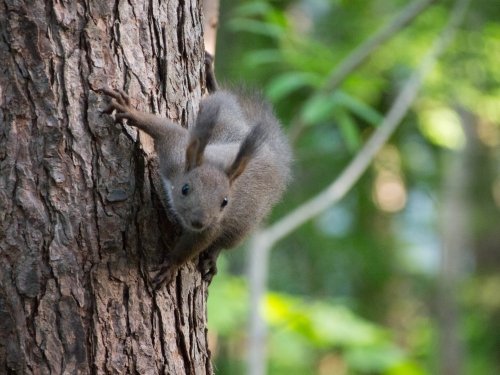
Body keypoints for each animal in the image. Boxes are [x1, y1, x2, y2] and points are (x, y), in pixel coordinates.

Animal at [100, 53, 292, 288]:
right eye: (185, 189)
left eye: (225, 202)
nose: (198, 221)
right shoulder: (176, 152)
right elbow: (163, 128)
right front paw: (130, 110)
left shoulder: (212, 225)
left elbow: (196, 244)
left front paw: (172, 265)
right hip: (223, 114)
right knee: (221, 97)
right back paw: (211, 78)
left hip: (247, 221)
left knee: (226, 242)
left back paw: (212, 259)